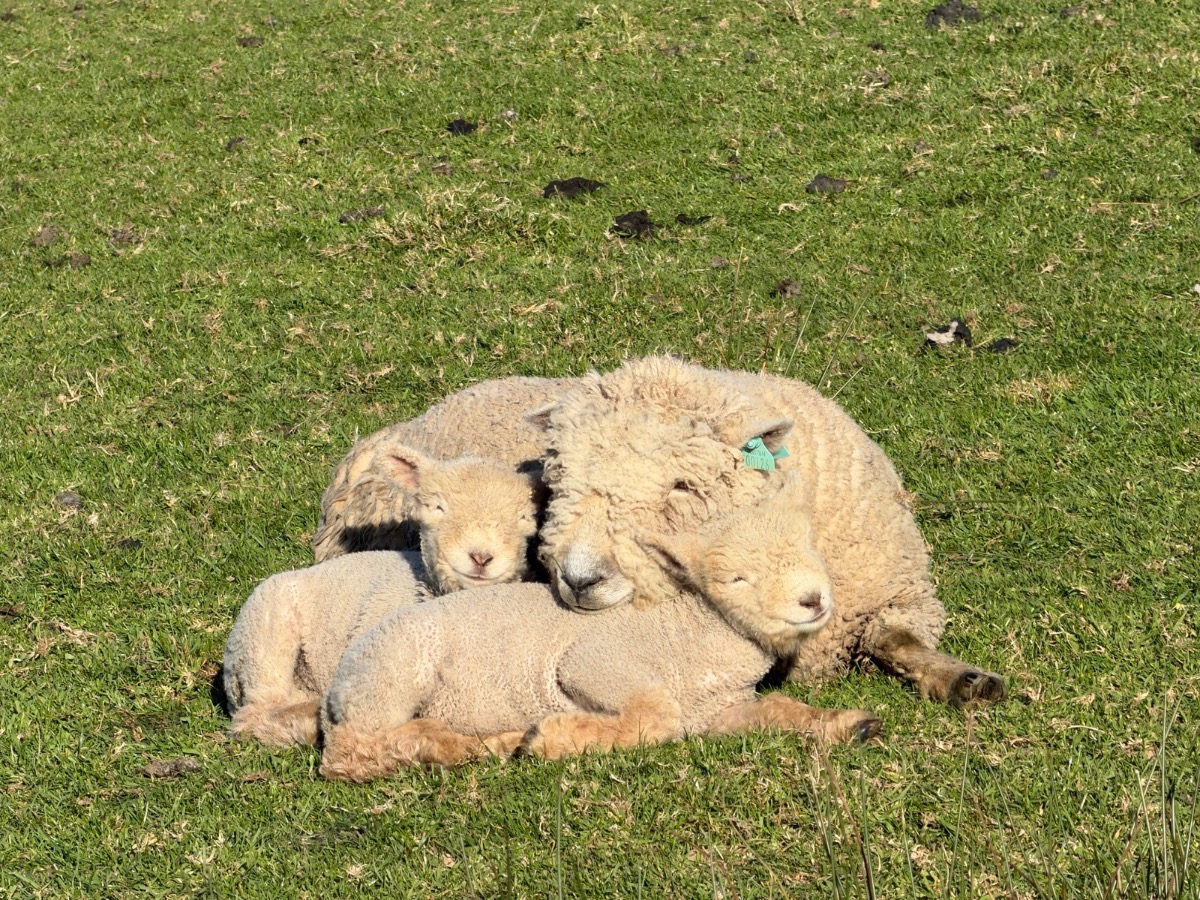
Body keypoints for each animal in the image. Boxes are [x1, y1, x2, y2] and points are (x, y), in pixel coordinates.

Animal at [318, 474, 882, 780]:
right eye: (736, 578)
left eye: (810, 547)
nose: (813, 600)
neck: (693, 635)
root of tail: (337, 685)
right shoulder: (593, 660)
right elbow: (656, 715)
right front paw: (555, 738)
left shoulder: (721, 712)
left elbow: (781, 711)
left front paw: (849, 724)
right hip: (393, 676)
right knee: (350, 753)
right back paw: (448, 747)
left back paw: (491, 743)